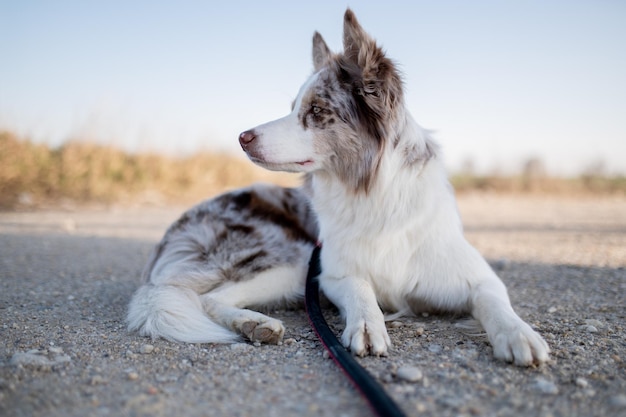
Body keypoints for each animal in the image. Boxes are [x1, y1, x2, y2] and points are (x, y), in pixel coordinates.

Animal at [127, 8, 544, 364]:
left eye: (315, 111)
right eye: (294, 107)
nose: (242, 137)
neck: (372, 197)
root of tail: (174, 230)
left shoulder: (475, 276)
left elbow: (495, 300)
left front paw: (518, 333)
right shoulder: (329, 274)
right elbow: (361, 287)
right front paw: (367, 324)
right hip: (292, 258)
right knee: (209, 298)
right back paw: (256, 323)